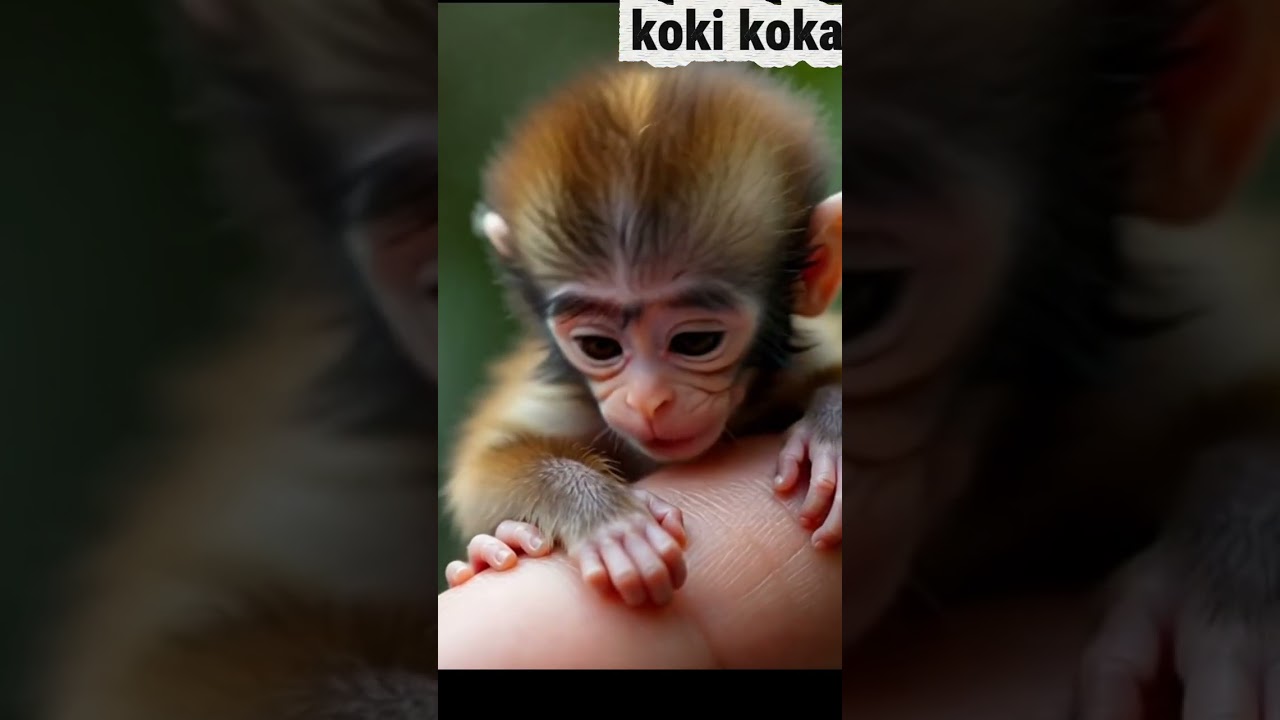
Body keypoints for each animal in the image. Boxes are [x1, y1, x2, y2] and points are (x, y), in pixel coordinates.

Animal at [441, 64, 843, 608]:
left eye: (696, 342)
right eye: (598, 347)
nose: (648, 401)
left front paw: (833, 431)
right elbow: (476, 473)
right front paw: (605, 518)